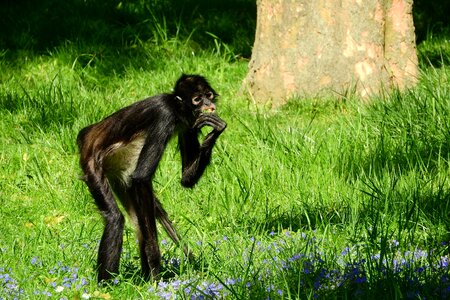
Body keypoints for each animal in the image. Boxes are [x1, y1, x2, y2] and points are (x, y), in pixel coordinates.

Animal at [76, 74, 229, 282]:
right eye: (197, 99)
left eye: (209, 95)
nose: (209, 104)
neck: (176, 107)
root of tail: (87, 134)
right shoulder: (165, 115)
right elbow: (141, 178)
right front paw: (156, 263)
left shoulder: (189, 124)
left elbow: (185, 181)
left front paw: (216, 128)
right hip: (92, 164)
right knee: (115, 219)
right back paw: (108, 285)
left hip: (121, 177)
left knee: (140, 223)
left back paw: (143, 279)